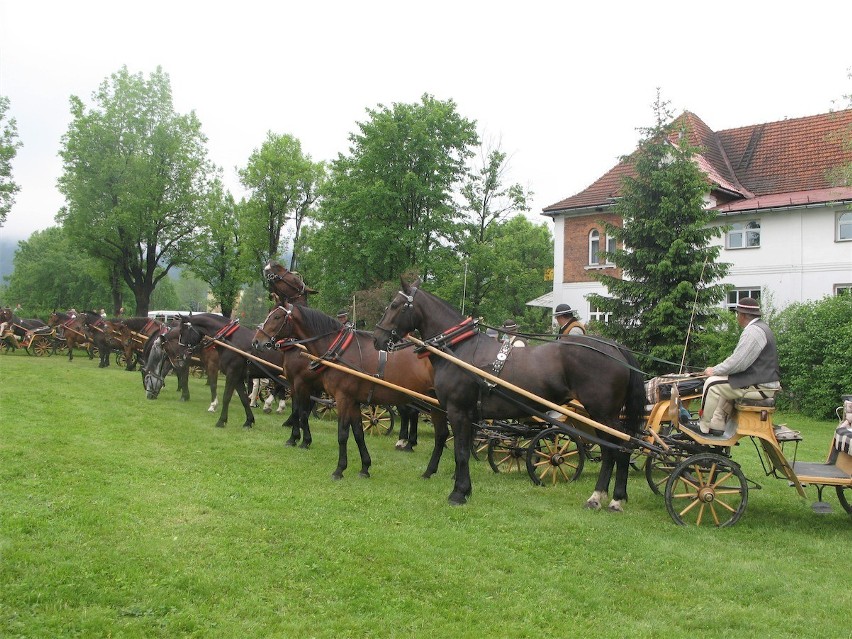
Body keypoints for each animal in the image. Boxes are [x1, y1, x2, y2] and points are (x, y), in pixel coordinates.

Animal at [250, 304, 446, 480]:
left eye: (277, 317)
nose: (256, 341)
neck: (339, 350)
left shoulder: (335, 396)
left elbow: (341, 433)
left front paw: (338, 469)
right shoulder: (353, 401)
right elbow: (358, 433)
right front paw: (365, 467)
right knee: (441, 434)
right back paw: (429, 470)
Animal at [372, 280, 644, 510]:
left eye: (395, 305)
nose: (377, 338)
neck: (460, 349)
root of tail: (613, 347)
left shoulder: (458, 411)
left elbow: (460, 452)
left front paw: (458, 493)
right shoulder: (467, 415)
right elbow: (463, 452)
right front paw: (464, 489)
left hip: (603, 414)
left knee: (620, 449)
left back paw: (611, 498)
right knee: (610, 451)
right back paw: (602, 496)